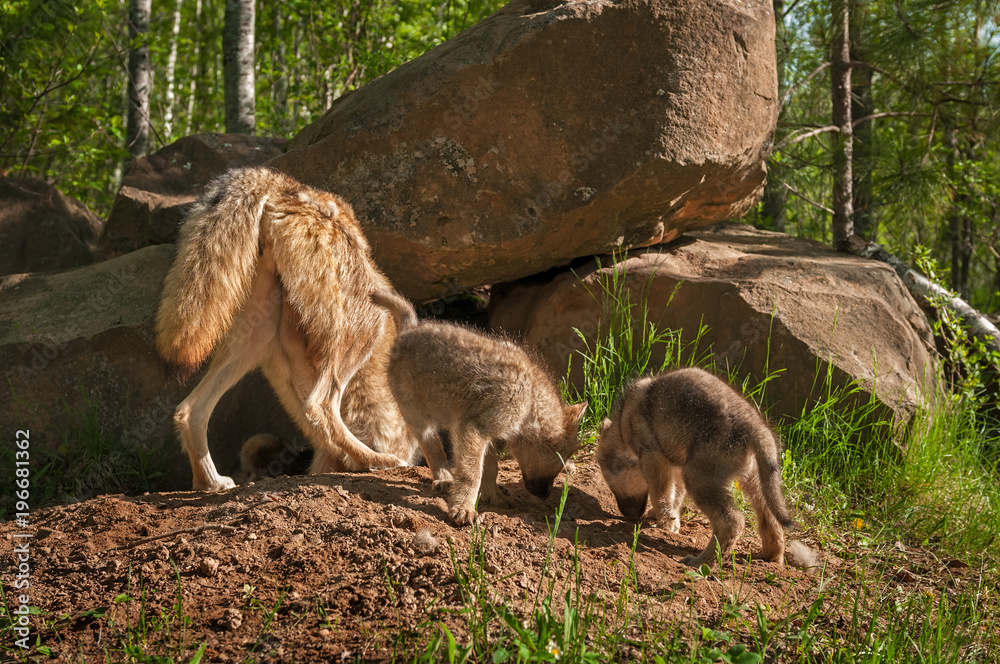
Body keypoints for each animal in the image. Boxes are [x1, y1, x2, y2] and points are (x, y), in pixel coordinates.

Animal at [155, 166, 419, 491]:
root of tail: (285, 185)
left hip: (254, 343)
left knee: (190, 410)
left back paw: (210, 483)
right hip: (368, 324)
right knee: (319, 406)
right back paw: (379, 461)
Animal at [371, 289, 587, 526]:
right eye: (562, 457)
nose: (546, 496)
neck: (530, 402)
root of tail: (410, 327)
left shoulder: (487, 434)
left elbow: (490, 469)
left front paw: (494, 497)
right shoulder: (473, 429)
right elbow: (472, 472)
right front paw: (463, 507)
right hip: (418, 417)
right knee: (432, 447)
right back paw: (444, 479)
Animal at [597, 367, 795, 567]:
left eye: (610, 481)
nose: (628, 516)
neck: (623, 426)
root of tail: (757, 430)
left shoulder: (653, 457)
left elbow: (661, 494)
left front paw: (665, 524)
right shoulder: (676, 464)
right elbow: (675, 496)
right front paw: (670, 519)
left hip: (698, 478)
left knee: (732, 522)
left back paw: (701, 562)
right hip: (755, 481)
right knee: (770, 518)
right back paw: (772, 558)